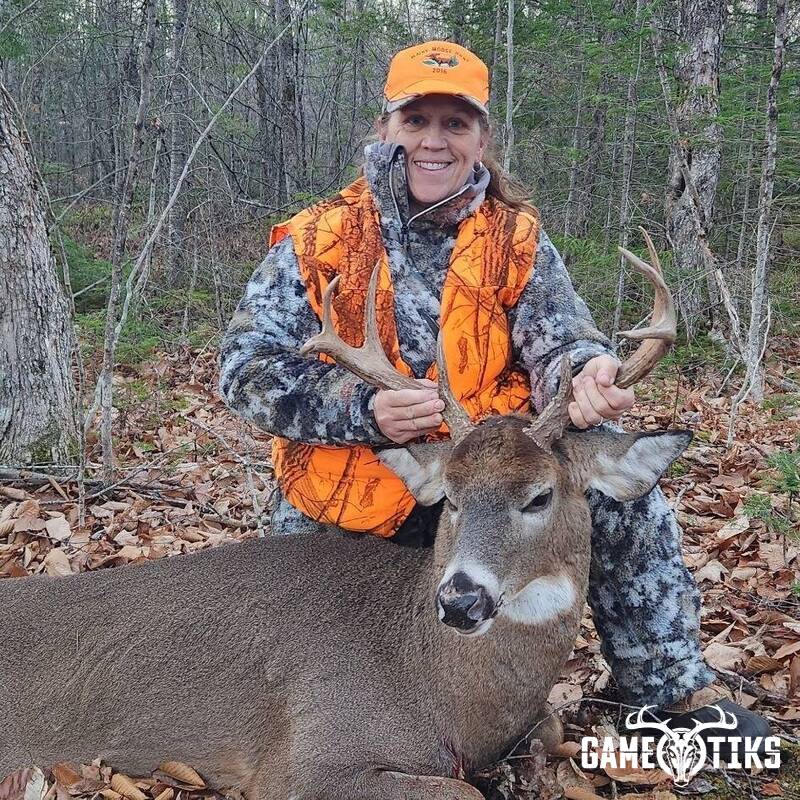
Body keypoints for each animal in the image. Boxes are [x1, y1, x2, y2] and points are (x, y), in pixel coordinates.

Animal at [1, 229, 687, 800]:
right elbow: (463, 790)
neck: (437, 688)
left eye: (540, 495)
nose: (460, 599)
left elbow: (549, 730)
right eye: (452, 496)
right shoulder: (302, 760)